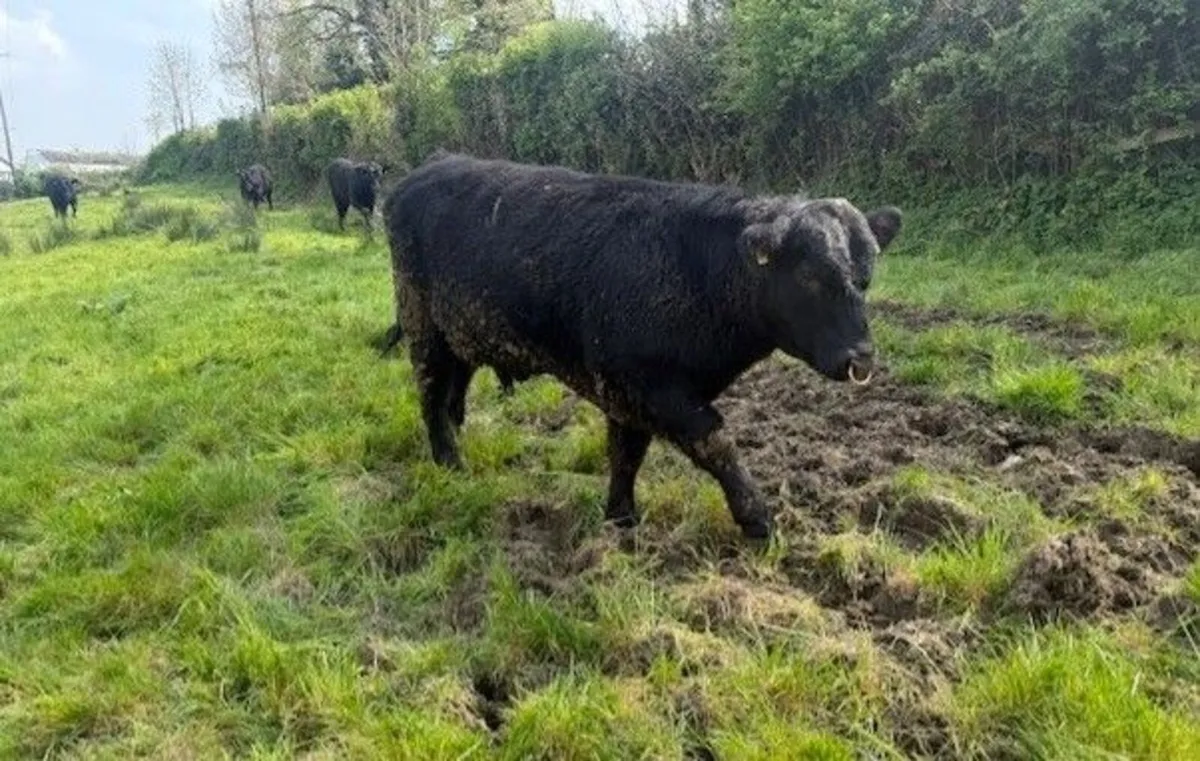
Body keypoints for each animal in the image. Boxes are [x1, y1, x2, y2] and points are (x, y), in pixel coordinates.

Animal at [384, 152, 901, 540]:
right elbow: (715, 442)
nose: (861, 357)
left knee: (454, 391)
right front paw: (758, 518)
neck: (697, 274)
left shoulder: (629, 392)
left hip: (460, 331)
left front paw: (621, 518)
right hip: (421, 325)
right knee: (431, 395)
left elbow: (627, 453)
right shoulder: (644, 383)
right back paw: (450, 463)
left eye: (867, 275)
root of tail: (430, 166)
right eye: (810, 275)